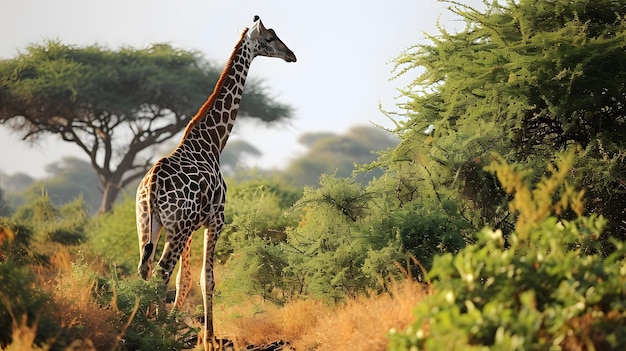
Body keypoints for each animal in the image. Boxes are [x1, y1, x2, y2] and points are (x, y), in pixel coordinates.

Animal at [135, 15, 294, 350]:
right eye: (270, 38)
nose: (292, 55)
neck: (213, 141)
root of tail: (151, 184)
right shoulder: (216, 218)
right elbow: (206, 278)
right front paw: (209, 339)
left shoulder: (194, 226)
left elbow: (186, 279)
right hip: (177, 228)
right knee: (160, 273)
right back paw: (151, 332)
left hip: (149, 223)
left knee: (144, 270)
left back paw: (140, 328)